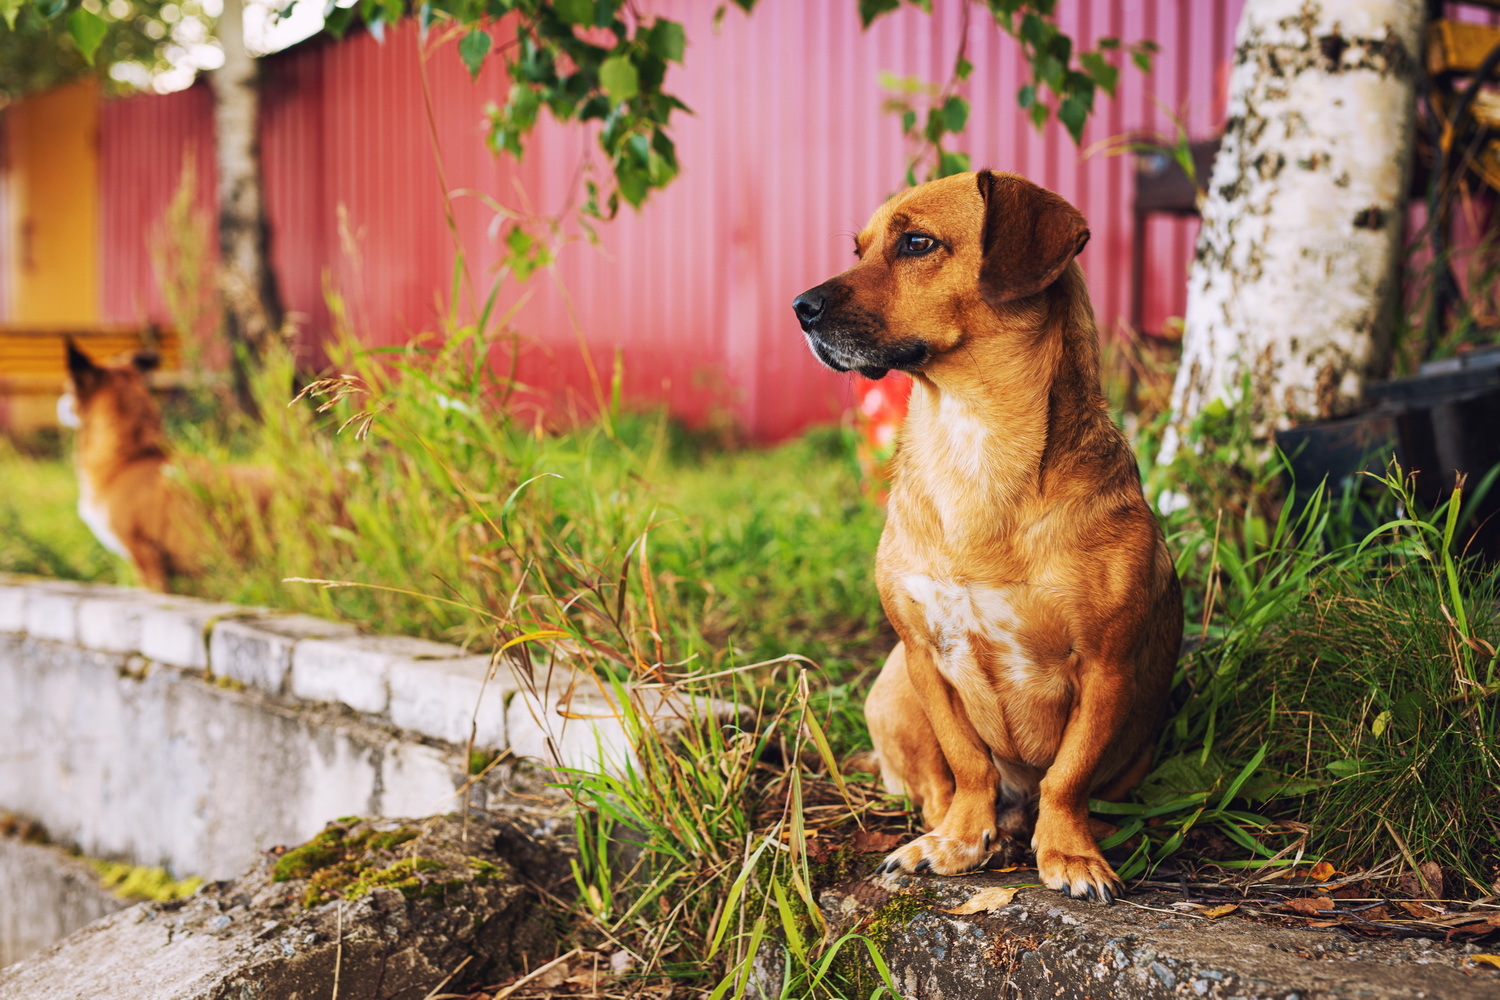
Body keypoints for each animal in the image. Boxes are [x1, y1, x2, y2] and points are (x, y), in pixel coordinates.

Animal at [798, 167, 1182, 905]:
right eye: (858, 248)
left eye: (917, 243)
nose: (800, 306)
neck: (973, 441)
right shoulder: (925, 658)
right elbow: (967, 764)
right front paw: (959, 840)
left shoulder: (1106, 670)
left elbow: (1067, 777)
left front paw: (1069, 852)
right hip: (895, 690)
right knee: (934, 786)